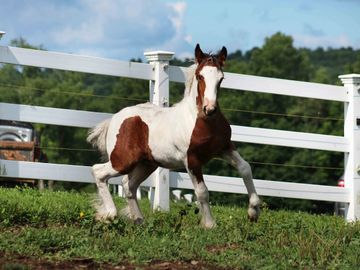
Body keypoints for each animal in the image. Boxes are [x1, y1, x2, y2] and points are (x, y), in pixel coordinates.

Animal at [88, 43, 260, 228]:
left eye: (221, 78)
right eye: (200, 76)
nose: (210, 109)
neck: (203, 121)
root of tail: (113, 119)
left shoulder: (224, 148)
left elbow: (245, 168)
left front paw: (253, 212)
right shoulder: (191, 160)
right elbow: (202, 191)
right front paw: (209, 224)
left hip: (146, 164)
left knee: (128, 185)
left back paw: (139, 220)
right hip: (122, 161)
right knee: (98, 172)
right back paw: (109, 215)